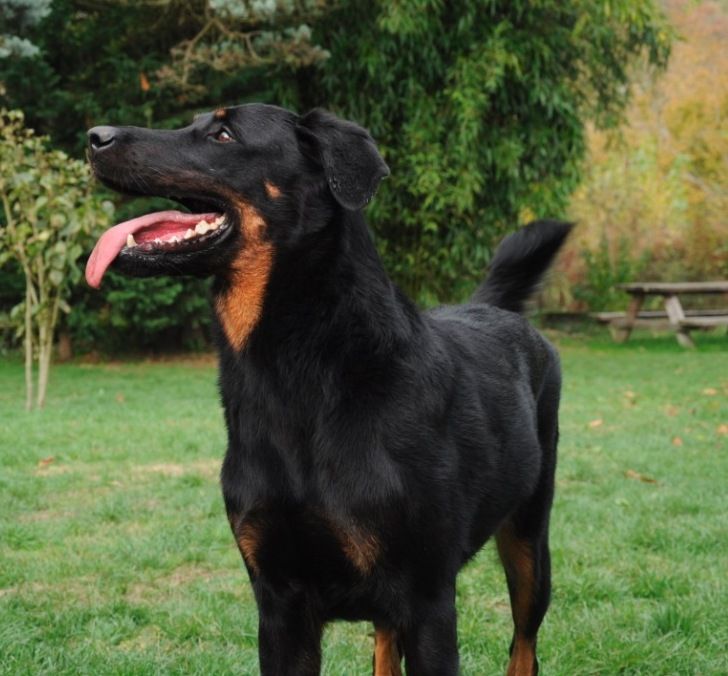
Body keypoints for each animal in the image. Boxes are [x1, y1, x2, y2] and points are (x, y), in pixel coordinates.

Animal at [85, 105, 572, 676]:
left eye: (223, 133)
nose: (94, 138)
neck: (303, 375)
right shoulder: (279, 604)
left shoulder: (429, 601)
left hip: (529, 543)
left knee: (524, 646)